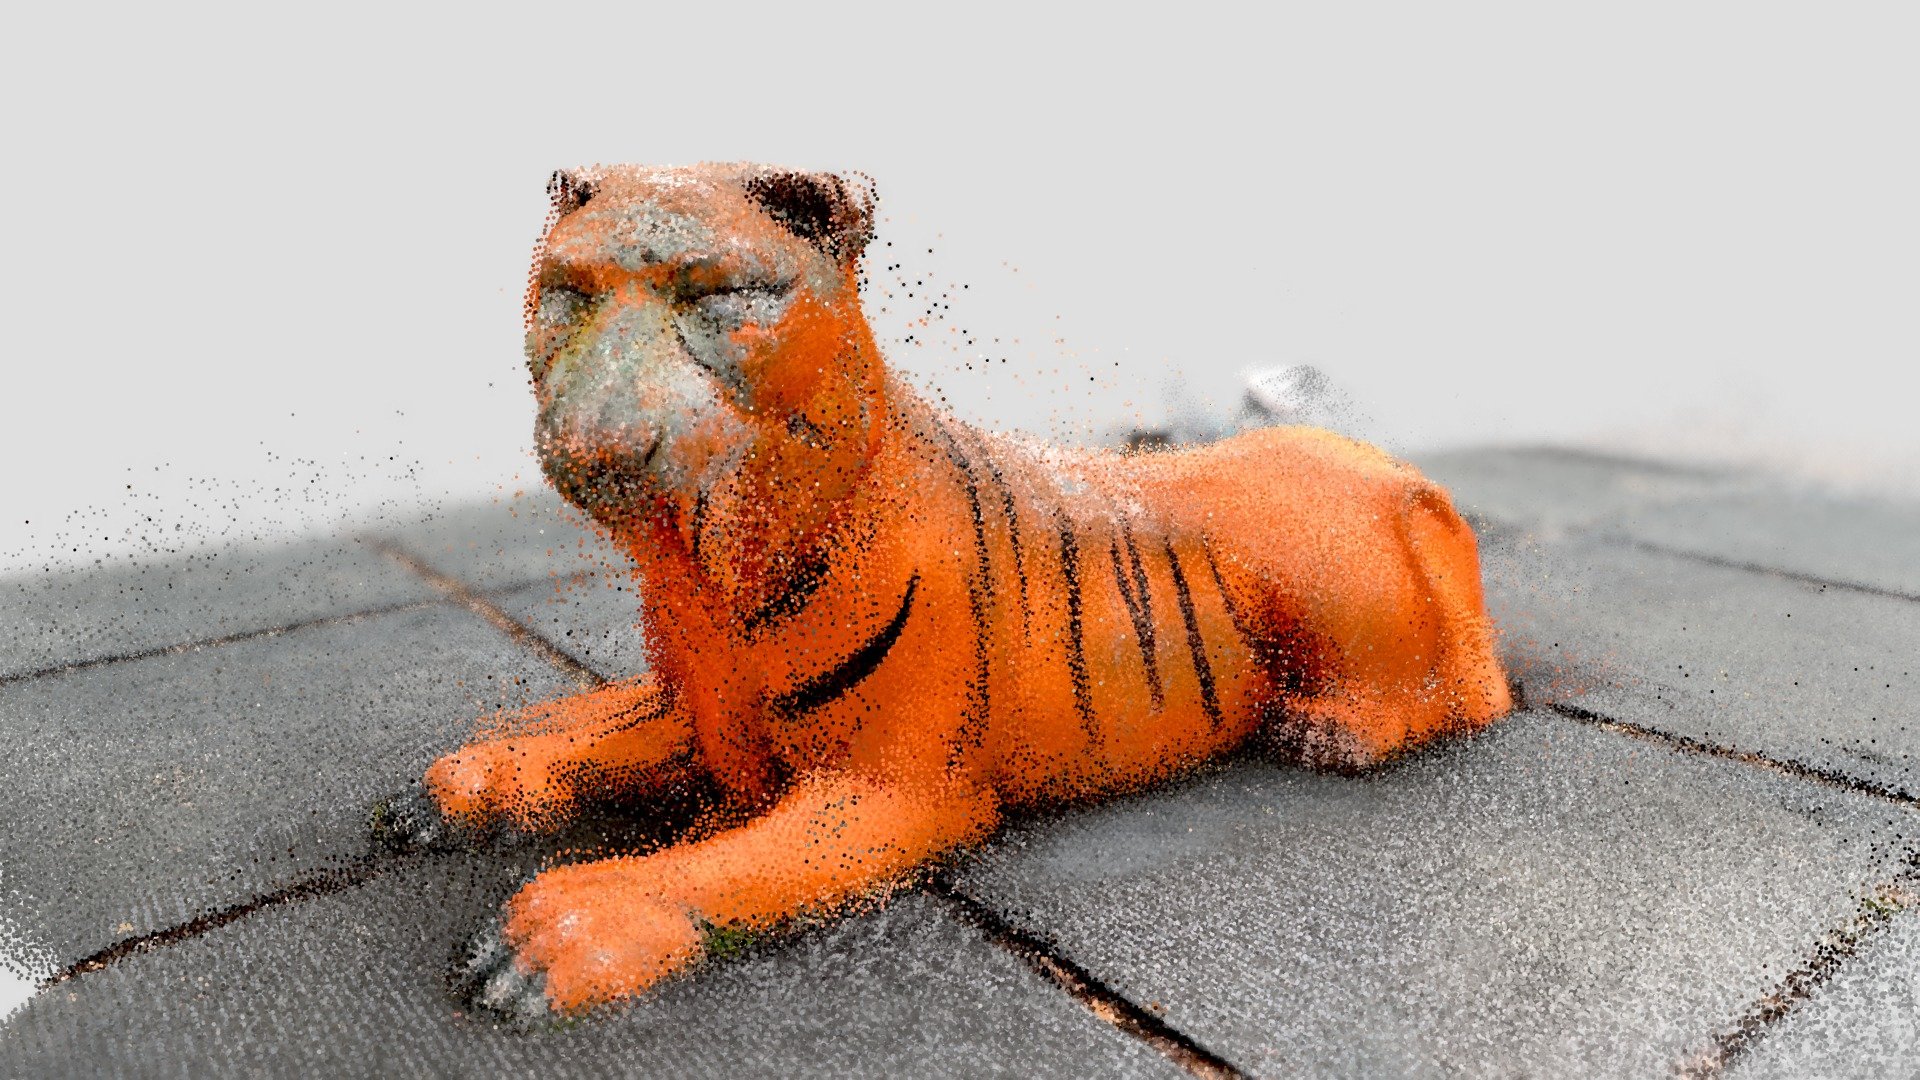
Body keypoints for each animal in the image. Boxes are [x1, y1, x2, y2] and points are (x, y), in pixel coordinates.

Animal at [398, 162, 1512, 1021]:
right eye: (567, 293)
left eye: (717, 297)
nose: (601, 450)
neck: (706, 566)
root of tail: (1398, 473)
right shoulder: (704, 711)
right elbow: (593, 733)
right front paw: (470, 778)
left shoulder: (891, 790)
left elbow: (714, 865)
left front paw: (559, 930)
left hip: (1334, 588)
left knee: (1458, 696)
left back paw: (1331, 730)